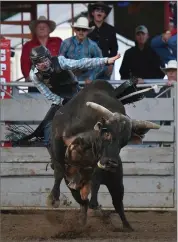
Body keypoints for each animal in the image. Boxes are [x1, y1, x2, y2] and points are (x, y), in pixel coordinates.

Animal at [47, 79, 160, 231]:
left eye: (124, 142)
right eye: (107, 133)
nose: (112, 163)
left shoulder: (101, 161)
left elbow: (96, 177)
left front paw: (95, 205)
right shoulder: (57, 139)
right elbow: (59, 170)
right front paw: (53, 198)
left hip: (116, 183)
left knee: (117, 204)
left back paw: (125, 225)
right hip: (73, 184)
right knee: (83, 201)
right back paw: (83, 222)